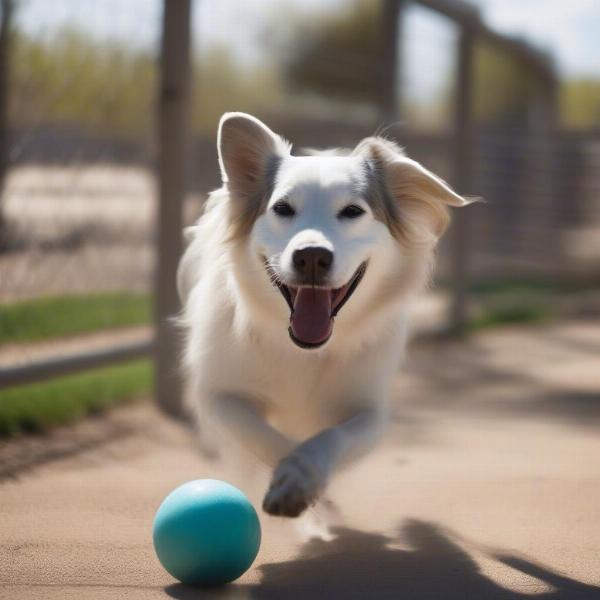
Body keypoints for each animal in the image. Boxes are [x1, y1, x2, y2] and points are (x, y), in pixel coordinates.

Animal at [176, 115, 472, 516]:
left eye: (352, 211)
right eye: (283, 208)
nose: (312, 256)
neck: (303, 349)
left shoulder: (369, 410)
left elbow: (334, 436)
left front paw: (300, 478)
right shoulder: (220, 397)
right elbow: (262, 436)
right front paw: (292, 481)